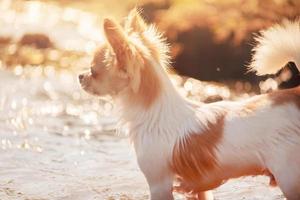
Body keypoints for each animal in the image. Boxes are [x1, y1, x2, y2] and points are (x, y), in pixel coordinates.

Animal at [78, 9, 298, 200]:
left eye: (93, 71)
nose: (80, 76)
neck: (154, 114)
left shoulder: (159, 184)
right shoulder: (200, 188)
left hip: (289, 177)